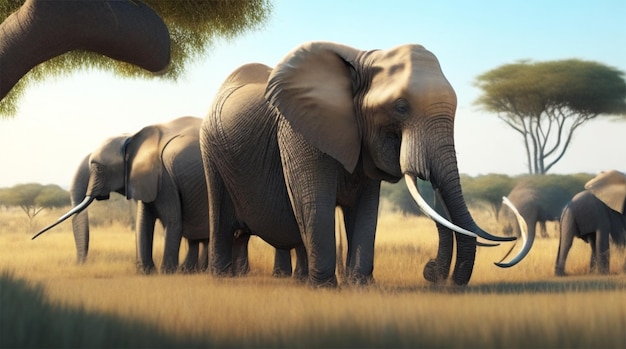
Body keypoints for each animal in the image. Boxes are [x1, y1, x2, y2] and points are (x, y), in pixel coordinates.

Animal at [200, 41, 512, 286]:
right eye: (401, 107)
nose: (431, 271)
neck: (364, 62)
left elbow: (366, 208)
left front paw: (360, 284)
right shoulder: (297, 129)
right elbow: (315, 202)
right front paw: (325, 287)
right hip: (211, 151)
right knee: (221, 216)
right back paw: (223, 277)